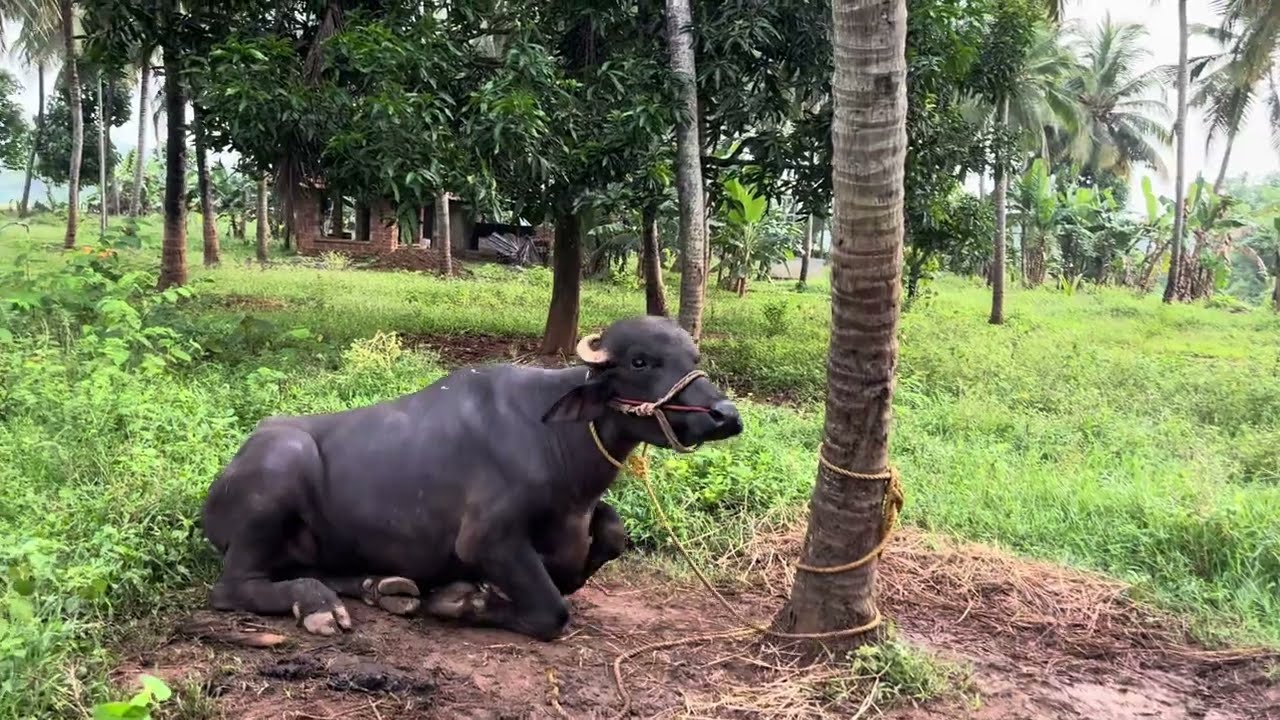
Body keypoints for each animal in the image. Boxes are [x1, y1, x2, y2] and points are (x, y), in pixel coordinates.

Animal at [201, 316, 743, 641]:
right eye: (640, 361)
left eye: (693, 360)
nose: (726, 416)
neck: (557, 442)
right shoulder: (487, 539)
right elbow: (552, 611)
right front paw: (462, 599)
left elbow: (610, 534)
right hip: (280, 469)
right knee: (232, 587)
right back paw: (315, 604)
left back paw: (382, 586)